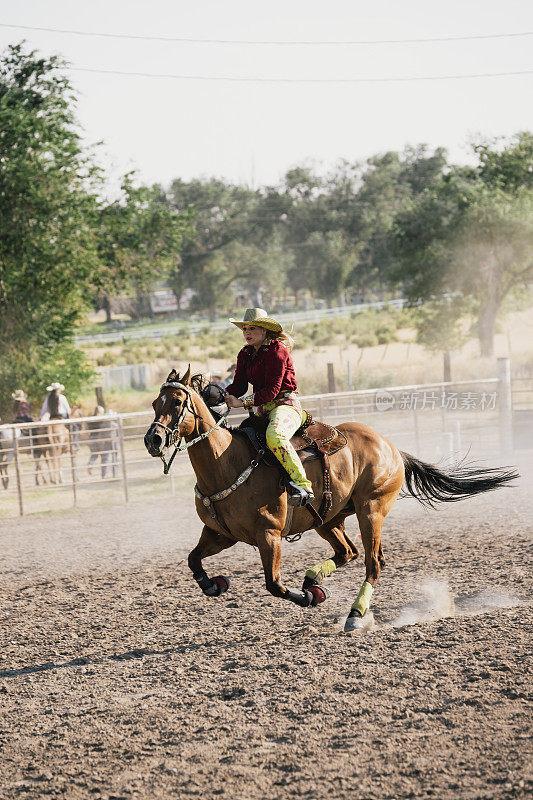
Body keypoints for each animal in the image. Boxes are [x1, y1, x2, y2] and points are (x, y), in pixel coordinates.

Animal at [142, 368, 516, 632]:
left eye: (178, 403)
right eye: (155, 403)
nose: (153, 439)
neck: (227, 462)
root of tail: (392, 448)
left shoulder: (269, 536)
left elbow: (275, 585)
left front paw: (307, 598)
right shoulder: (221, 534)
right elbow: (193, 560)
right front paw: (214, 584)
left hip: (371, 510)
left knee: (372, 563)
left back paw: (354, 613)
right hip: (328, 518)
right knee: (347, 552)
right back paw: (314, 579)